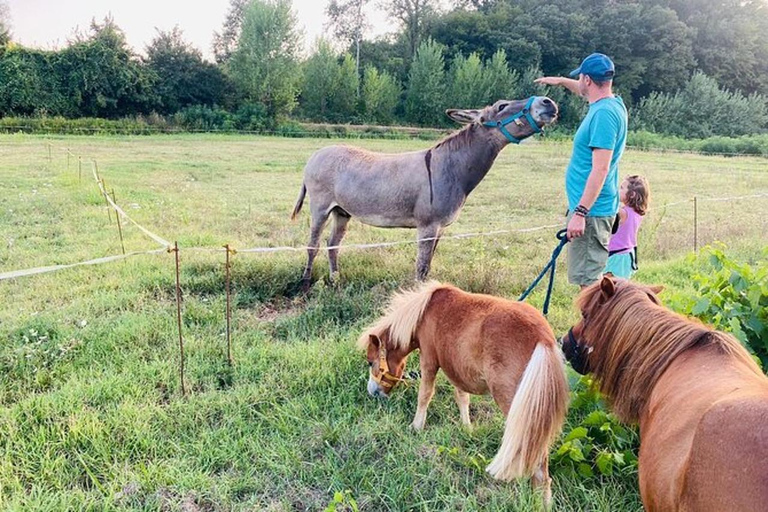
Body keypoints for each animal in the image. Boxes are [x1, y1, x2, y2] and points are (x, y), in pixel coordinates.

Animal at [356, 280, 568, 504]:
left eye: (370, 362)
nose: (373, 392)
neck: (425, 311)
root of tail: (543, 339)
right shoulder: (457, 368)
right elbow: (462, 398)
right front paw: (467, 427)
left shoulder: (429, 361)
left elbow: (425, 395)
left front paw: (416, 426)